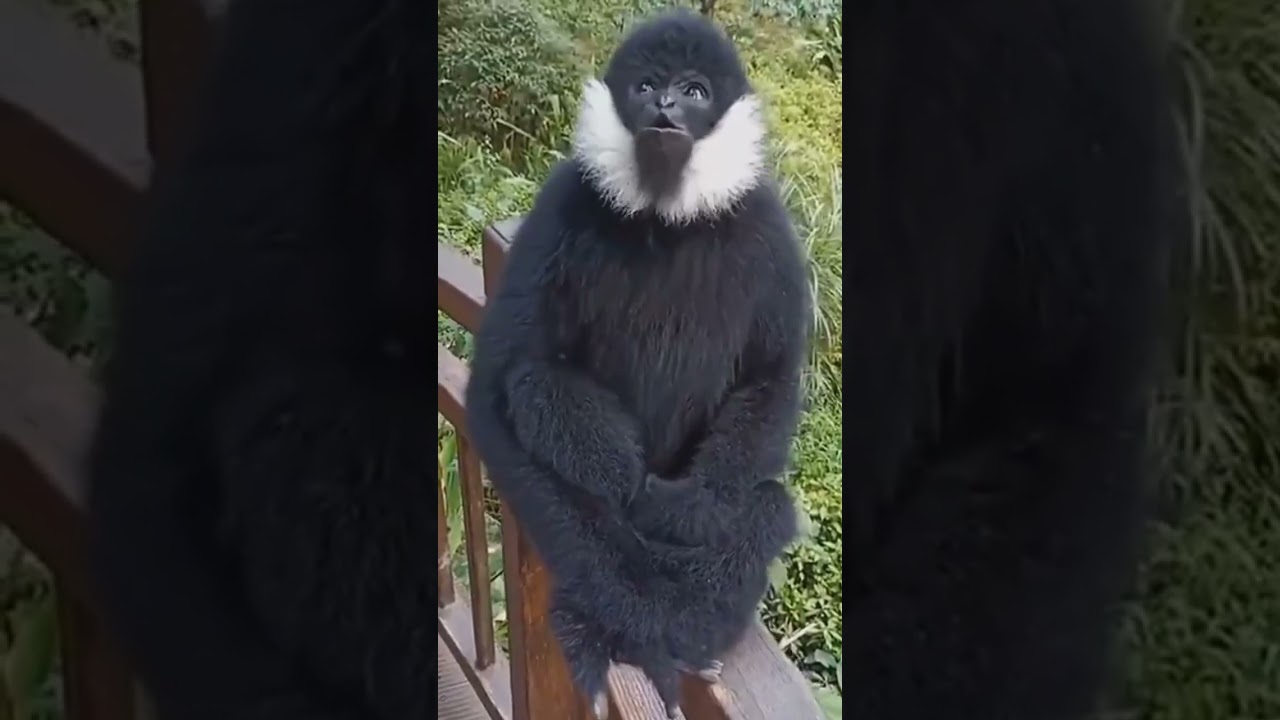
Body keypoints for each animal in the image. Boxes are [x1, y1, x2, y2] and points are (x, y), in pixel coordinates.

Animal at [464, 10, 810, 717]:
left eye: (694, 90)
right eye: (646, 85)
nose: (665, 107)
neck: (666, 216)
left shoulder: (767, 219)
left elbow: (772, 376)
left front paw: (683, 513)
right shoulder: (562, 198)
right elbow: (495, 392)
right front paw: (634, 614)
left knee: (765, 505)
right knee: (534, 386)